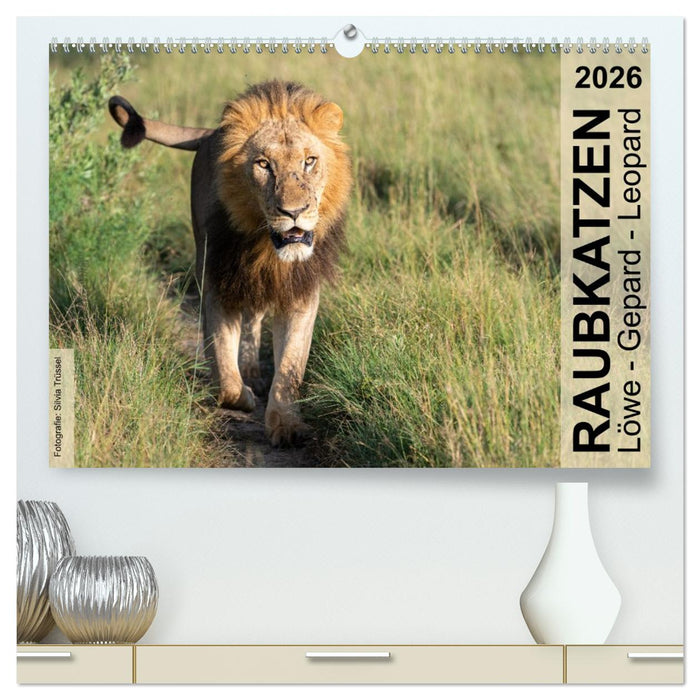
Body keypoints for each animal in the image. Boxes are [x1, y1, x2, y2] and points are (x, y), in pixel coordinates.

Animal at [108, 81, 352, 447]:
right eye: (263, 164)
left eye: (310, 161)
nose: (293, 212)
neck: (266, 246)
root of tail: (210, 133)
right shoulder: (216, 283)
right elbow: (224, 369)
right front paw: (243, 396)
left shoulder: (300, 293)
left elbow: (291, 366)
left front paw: (286, 425)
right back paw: (248, 375)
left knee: (256, 317)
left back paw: (253, 370)